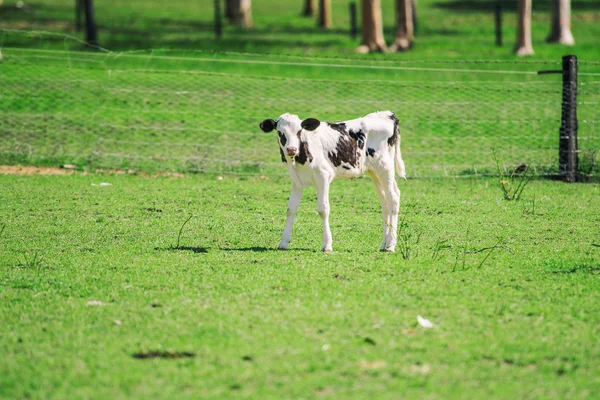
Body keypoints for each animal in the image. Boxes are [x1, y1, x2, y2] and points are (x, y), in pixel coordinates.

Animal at [260, 111, 406, 252]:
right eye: (280, 132)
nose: (291, 149)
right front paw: (283, 242)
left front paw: (327, 245)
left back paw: (391, 245)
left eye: (299, 131)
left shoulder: (323, 176)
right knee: (386, 203)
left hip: (385, 168)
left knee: (393, 199)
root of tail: (387, 114)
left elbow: (323, 209)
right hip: (375, 173)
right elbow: (291, 209)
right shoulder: (297, 181)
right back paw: (384, 244)